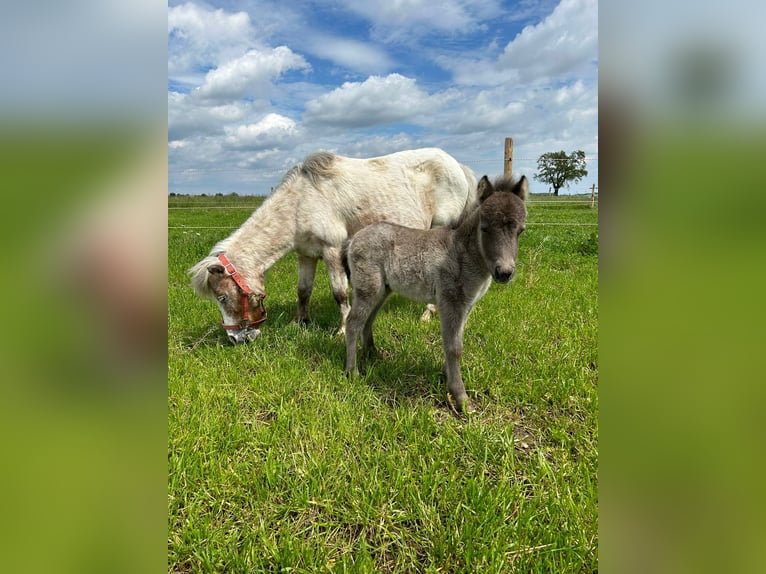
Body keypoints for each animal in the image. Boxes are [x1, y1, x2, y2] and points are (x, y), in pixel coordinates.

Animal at [189, 151, 476, 344]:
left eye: (222, 297)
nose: (236, 339)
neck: (301, 202)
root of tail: (457, 166)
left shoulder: (333, 250)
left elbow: (340, 293)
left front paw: (342, 330)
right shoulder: (305, 255)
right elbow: (303, 290)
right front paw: (300, 322)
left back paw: (428, 314)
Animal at [342, 176, 528, 414]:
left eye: (520, 231)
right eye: (484, 228)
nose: (504, 273)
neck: (462, 252)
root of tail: (354, 239)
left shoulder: (467, 306)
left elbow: (454, 341)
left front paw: (447, 376)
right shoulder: (450, 301)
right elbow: (454, 347)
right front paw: (461, 398)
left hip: (383, 290)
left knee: (368, 320)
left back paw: (373, 354)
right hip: (368, 289)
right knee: (353, 322)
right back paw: (352, 371)